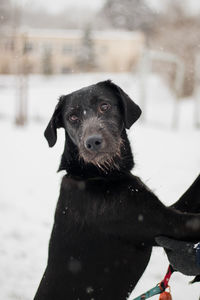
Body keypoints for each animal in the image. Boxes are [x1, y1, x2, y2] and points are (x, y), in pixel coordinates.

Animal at [34, 80, 200, 300]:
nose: (92, 142)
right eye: (72, 117)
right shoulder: (168, 222)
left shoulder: (168, 209)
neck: (97, 177)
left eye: (104, 106)